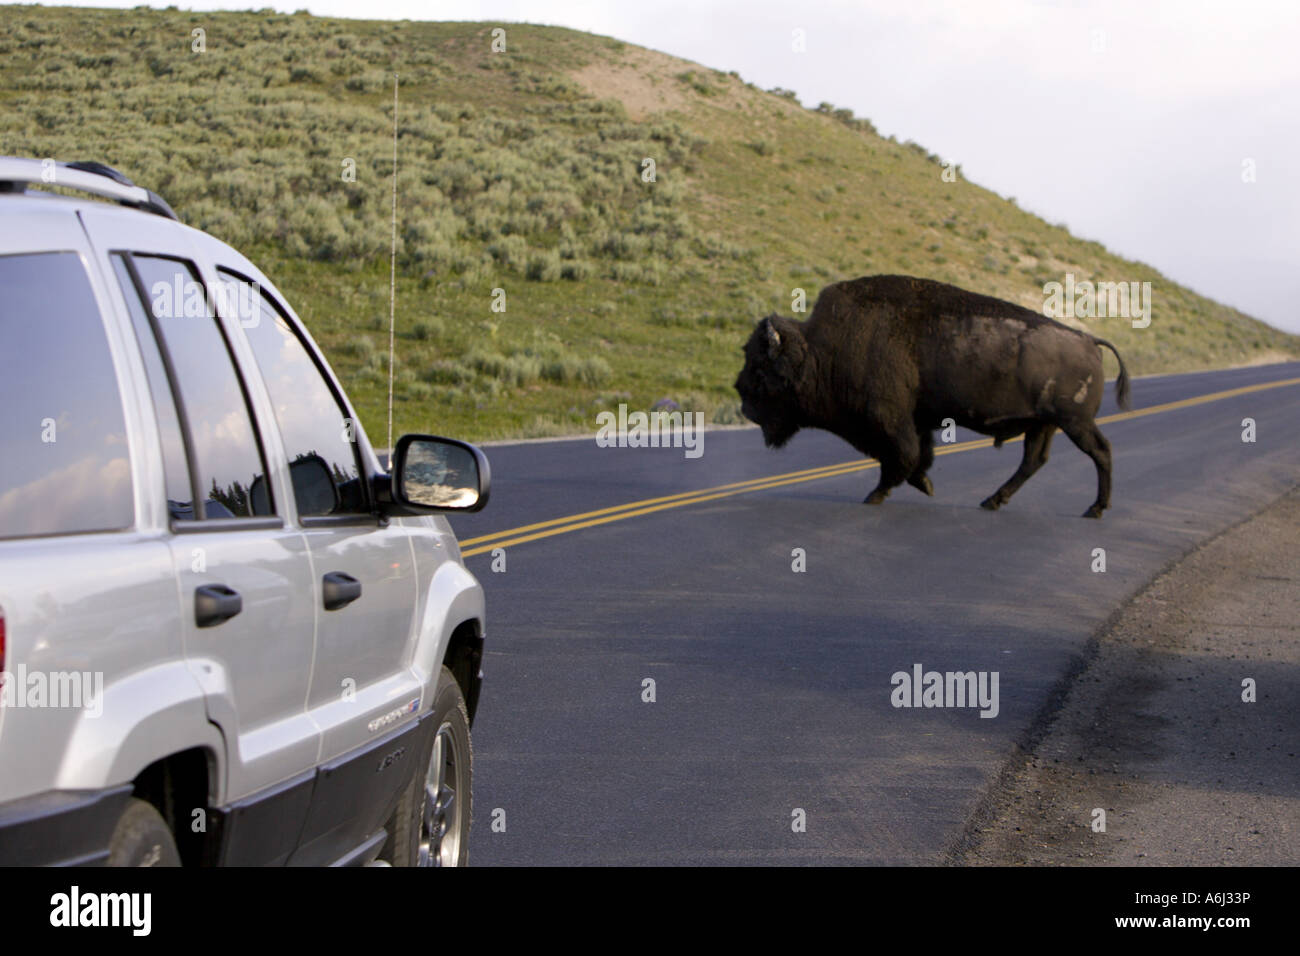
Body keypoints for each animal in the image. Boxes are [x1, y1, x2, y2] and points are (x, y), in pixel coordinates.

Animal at [738, 273, 1133, 520]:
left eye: (760, 367)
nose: (742, 399)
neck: (818, 350)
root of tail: (1088, 341)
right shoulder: (915, 421)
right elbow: (917, 456)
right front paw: (924, 484)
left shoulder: (888, 420)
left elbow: (900, 456)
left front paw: (876, 495)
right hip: (1043, 425)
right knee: (1033, 461)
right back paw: (992, 501)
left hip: (1074, 422)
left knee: (1100, 452)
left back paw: (1095, 509)